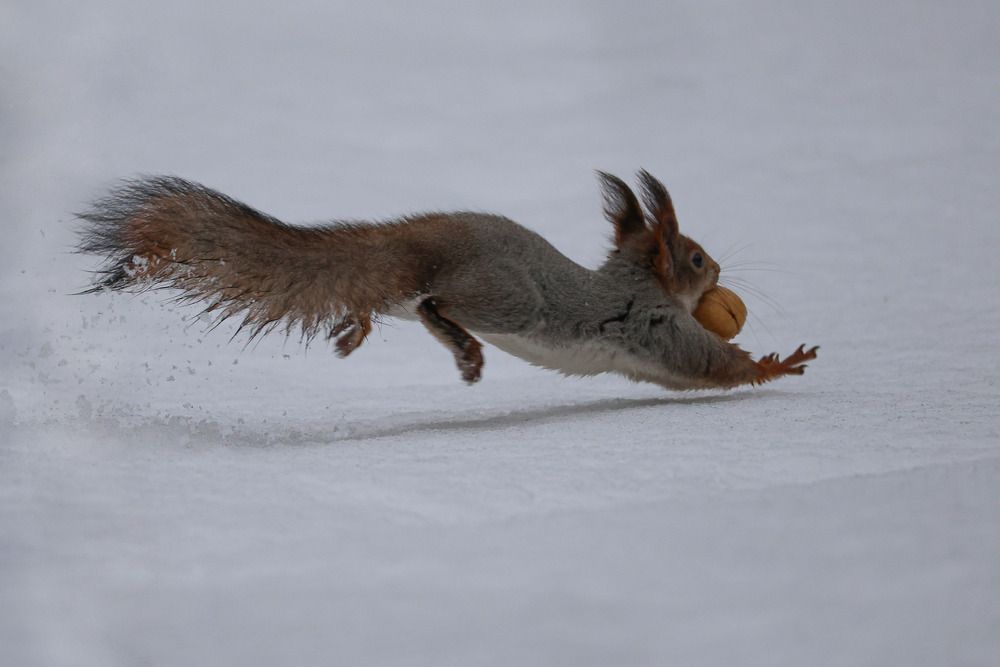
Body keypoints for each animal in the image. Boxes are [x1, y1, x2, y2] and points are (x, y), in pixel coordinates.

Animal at [76, 170, 817, 390]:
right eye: (693, 259)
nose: (718, 271)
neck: (640, 281)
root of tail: (421, 238)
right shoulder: (651, 322)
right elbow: (707, 364)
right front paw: (779, 362)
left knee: (383, 297)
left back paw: (357, 325)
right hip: (510, 298)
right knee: (437, 302)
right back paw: (462, 348)